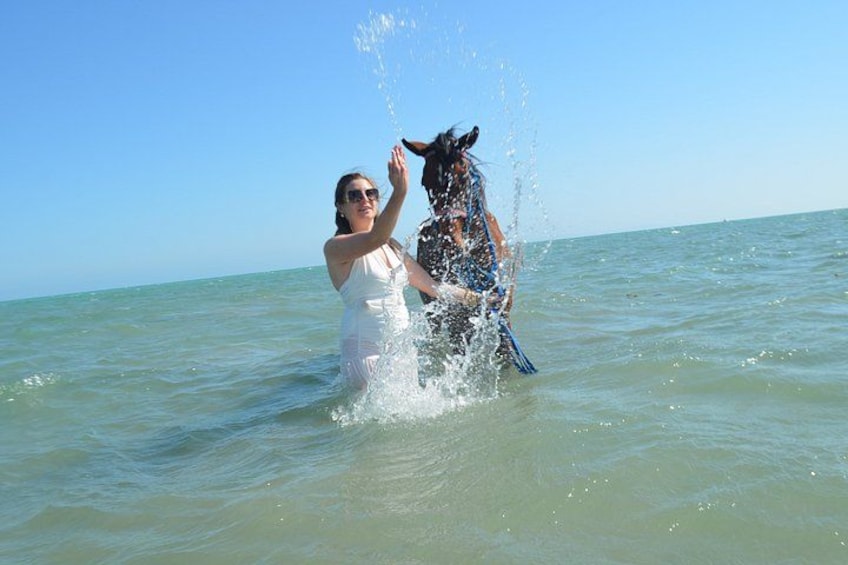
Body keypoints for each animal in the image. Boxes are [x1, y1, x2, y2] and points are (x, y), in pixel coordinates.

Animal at [402, 126, 536, 374]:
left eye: (463, 172)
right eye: (425, 182)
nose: (450, 242)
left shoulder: (503, 314)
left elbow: (505, 353)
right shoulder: (455, 317)